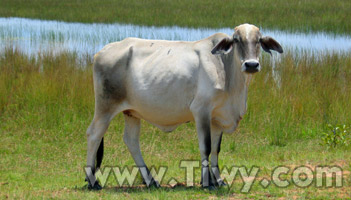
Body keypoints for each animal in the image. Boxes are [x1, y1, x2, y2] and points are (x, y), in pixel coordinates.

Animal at [85, 23, 284, 189]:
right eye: (236, 40)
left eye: (259, 40)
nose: (251, 64)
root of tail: (102, 51)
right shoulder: (201, 111)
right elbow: (205, 146)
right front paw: (206, 182)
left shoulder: (218, 117)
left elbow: (216, 149)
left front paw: (218, 180)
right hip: (105, 106)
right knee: (94, 134)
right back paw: (92, 181)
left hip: (131, 112)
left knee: (131, 141)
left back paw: (151, 180)